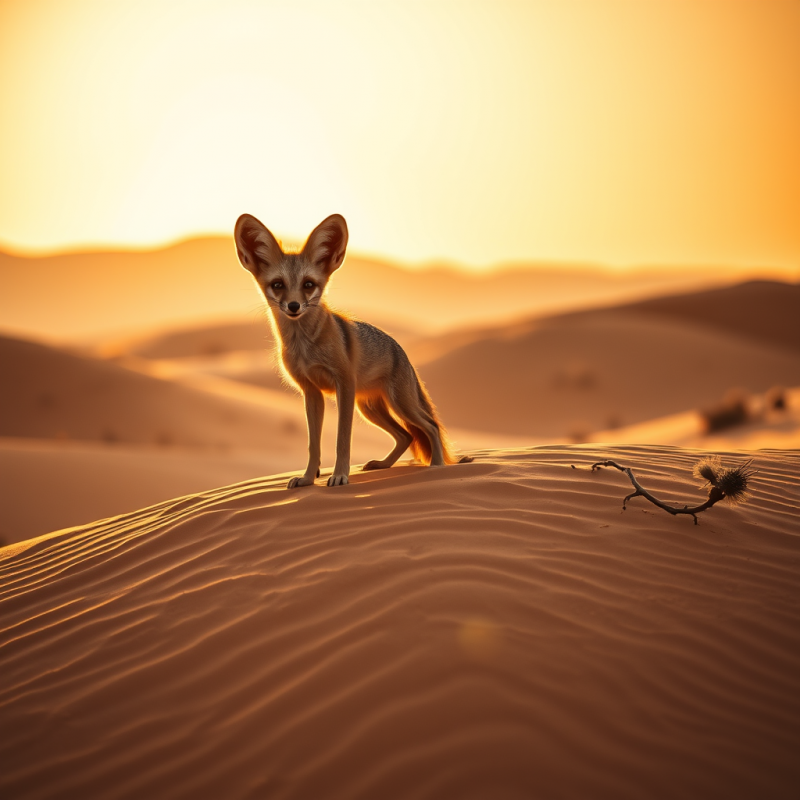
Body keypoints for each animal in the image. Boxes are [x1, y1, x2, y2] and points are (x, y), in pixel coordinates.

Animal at [234, 213, 472, 488]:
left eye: (308, 284)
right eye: (277, 284)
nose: (294, 306)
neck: (306, 346)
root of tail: (402, 352)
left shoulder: (344, 385)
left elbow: (342, 440)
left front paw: (340, 476)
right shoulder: (311, 392)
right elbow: (313, 445)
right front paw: (307, 478)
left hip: (399, 404)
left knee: (430, 426)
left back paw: (437, 467)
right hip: (370, 409)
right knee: (406, 435)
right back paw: (383, 465)